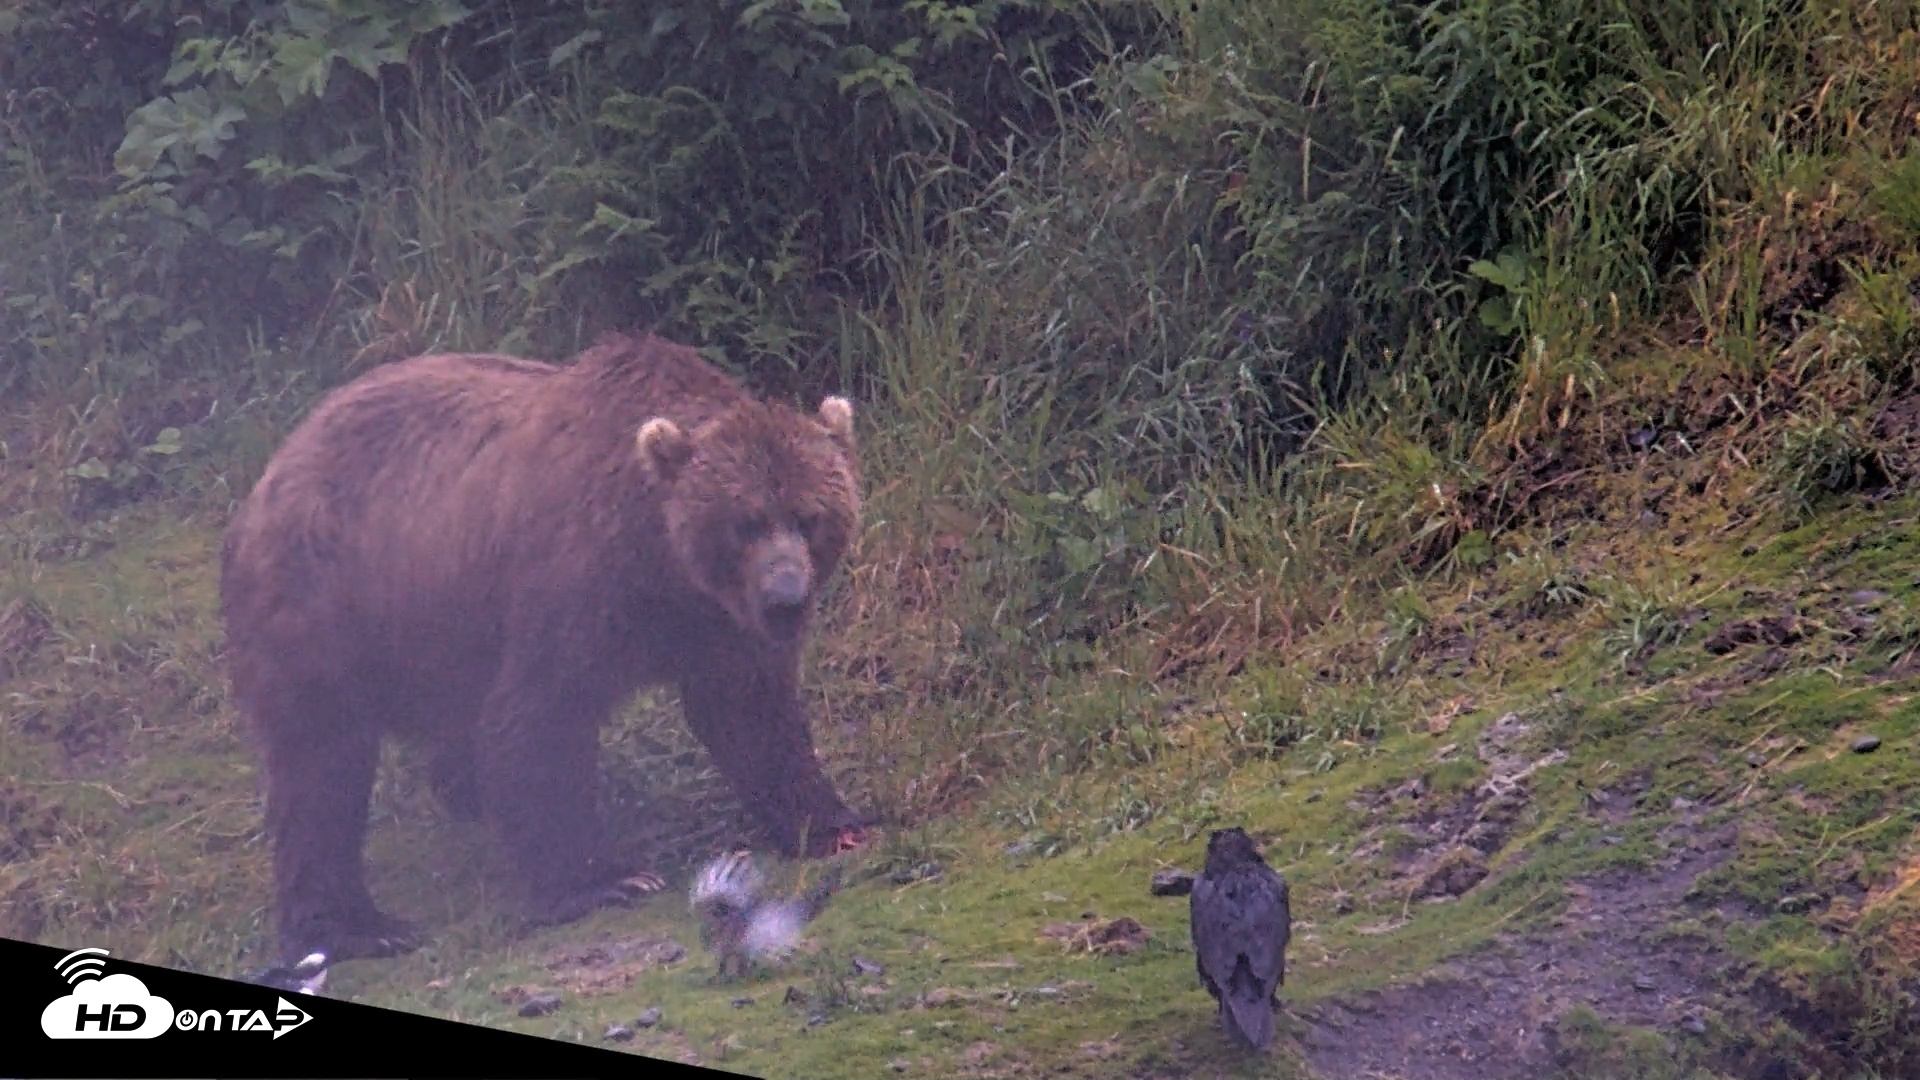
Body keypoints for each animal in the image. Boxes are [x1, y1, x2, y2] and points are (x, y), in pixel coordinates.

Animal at [218, 331, 871, 966]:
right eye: (746, 522)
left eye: (809, 516)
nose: (786, 597)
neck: (662, 567)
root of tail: (267, 478)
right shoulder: (574, 583)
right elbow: (543, 717)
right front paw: (603, 879)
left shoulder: (720, 624)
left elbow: (752, 713)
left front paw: (835, 822)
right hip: (327, 599)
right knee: (320, 764)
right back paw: (359, 927)